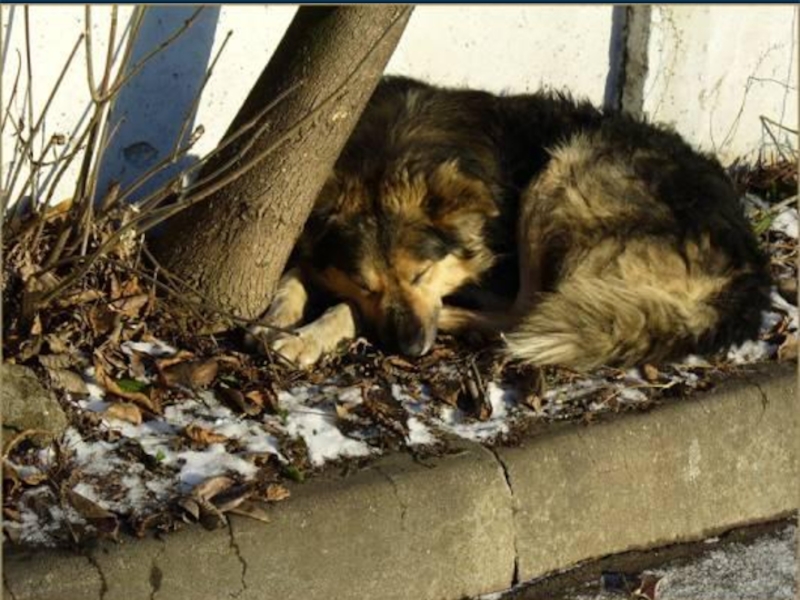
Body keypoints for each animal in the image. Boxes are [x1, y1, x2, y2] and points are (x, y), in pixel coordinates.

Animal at [252, 76, 776, 370]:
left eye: (420, 274)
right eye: (366, 282)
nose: (410, 349)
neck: (391, 149)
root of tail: (749, 271)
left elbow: (348, 309)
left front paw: (308, 336)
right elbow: (295, 272)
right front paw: (276, 315)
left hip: (561, 172)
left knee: (523, 311)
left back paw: (457, 317)